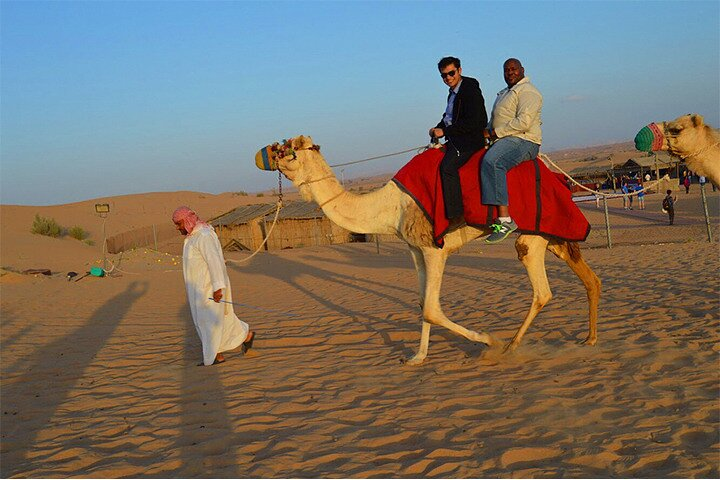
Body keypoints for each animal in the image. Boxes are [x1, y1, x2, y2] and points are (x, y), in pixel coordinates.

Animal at [268, 137, 600, 366]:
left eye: (290, 148)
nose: (268, 152)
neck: (390, 206)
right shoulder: (415, 250)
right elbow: (421, 302)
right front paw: (417, 357)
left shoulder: (434, 247)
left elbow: (430, 308)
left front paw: (488, 339)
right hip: (552, 235)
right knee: (588, 278)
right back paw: (589, 339)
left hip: (532, 236)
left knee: (542, 290)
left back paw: (509, 347)